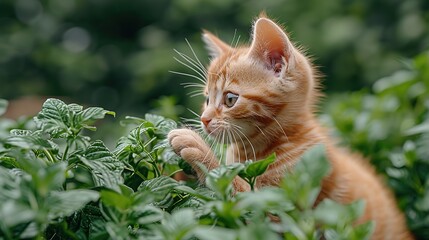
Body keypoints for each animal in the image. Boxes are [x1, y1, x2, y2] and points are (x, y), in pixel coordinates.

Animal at [167, 14, 412, 238]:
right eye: (207, 99)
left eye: (229, 99)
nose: (204, 119)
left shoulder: (282, 213)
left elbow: (235, 195)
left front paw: (196, 147)